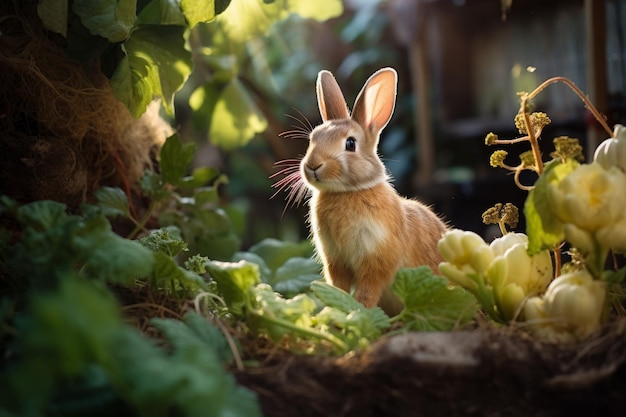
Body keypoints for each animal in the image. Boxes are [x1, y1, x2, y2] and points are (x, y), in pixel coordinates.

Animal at [272, 67, 444, 316]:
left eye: (350, 144)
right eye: (313, 139)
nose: (313, 165)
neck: (347, 192)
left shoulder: (375, 260)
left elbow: (367, 291)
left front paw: (359, 312)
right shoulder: (335, 260)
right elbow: (339, 288)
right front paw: (335, 311)